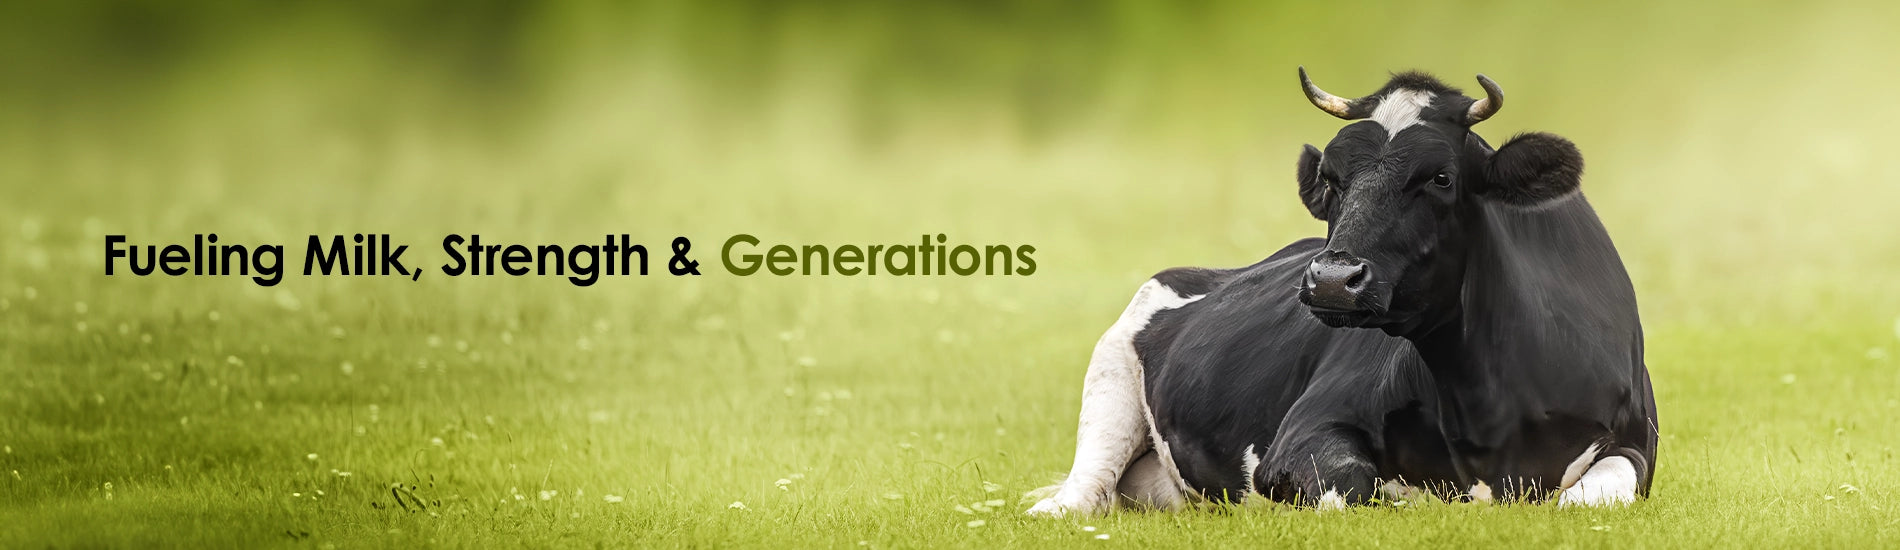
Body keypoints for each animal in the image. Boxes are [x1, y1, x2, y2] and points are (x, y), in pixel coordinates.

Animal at [1027, 68, 1657, 516]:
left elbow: (1587, 497)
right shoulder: (1300, 438)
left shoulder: (1636, 447)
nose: (1332, 278)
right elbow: (1360, 490)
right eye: (1331, 179)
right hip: (1110, 375)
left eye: (1442, 178)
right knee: (1084, 493)